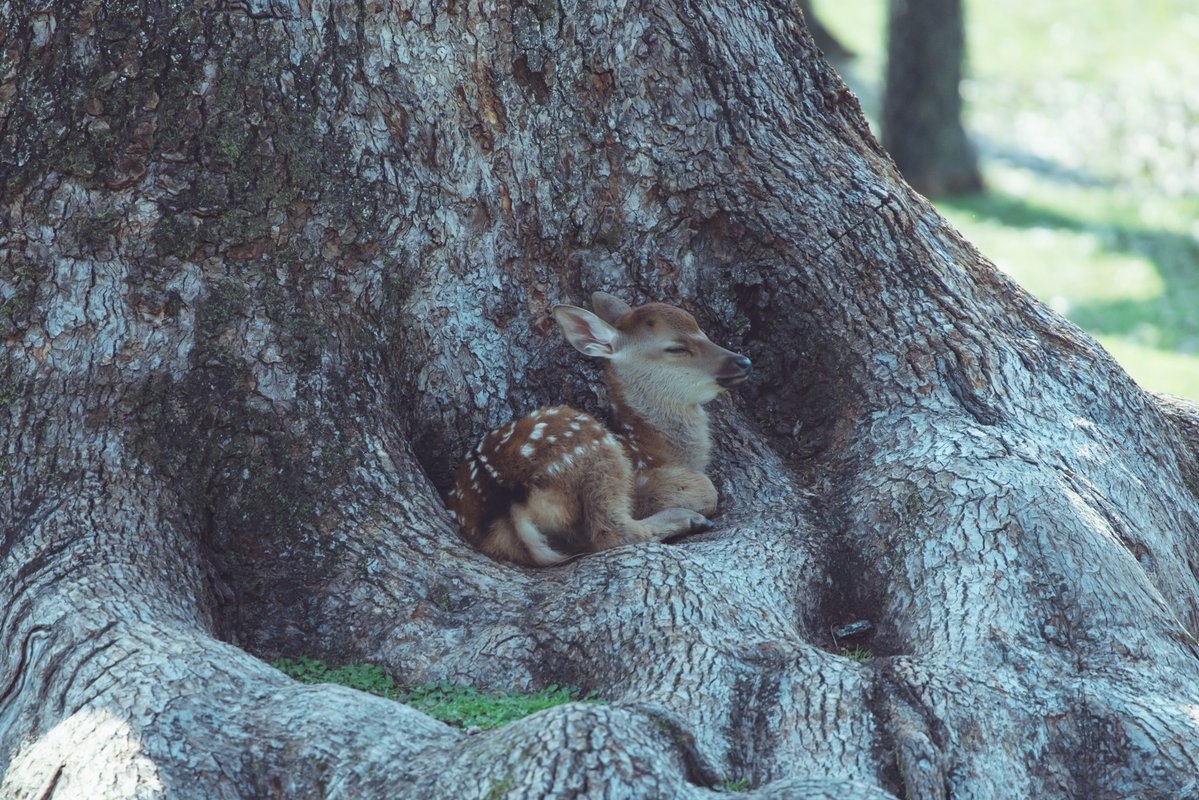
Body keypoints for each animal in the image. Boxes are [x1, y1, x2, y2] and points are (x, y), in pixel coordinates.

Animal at [447, 292, 752, 566]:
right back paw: (688, 519)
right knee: (613, 533)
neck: (661, 450)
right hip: (595, 452)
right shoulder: (645, 478)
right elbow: (707, 490)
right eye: (676, 348)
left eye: (703, 331)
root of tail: (510, 500)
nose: (743, 361)